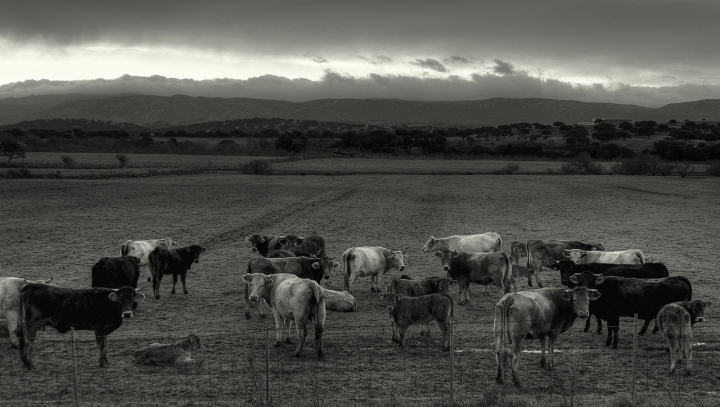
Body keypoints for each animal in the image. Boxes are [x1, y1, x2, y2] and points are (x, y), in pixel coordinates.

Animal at [17, 284, 145, 370]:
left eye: (133, 298)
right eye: (120, 299)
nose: (127, 314)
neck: (108, 303)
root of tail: (29, 286)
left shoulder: (105, 330)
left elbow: (105, 346)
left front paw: (106, 362)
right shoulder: (99, 328)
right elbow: (101, 345)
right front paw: (102, 363)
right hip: (32, 324)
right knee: (28, 342)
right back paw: (30, 365)